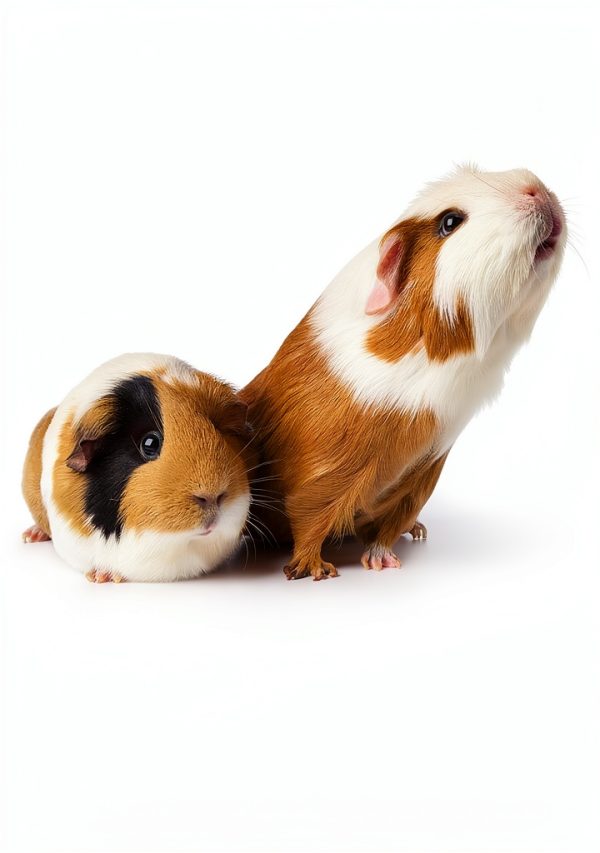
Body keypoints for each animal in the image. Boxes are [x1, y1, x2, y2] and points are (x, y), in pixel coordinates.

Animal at [241, 166, 567, 581]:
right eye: (450, 222)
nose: (536, 188)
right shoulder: (327, 472)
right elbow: (309, 519)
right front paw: (317, 570)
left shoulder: (424, 469)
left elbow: (392, 522)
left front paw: (383, 561)